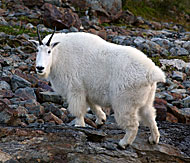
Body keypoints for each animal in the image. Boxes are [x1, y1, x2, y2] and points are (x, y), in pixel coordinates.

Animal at [29, 27, 165, 149]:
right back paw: (153, 139)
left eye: (49, 51)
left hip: (125, 101)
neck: (59, 54)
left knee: (133, 124)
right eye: (37, 50)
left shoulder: (75, 88)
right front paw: (101, 120)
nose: (40, 68)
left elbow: (78, 110)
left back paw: (123, 143)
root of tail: (151, 73)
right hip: (146, 98)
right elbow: (93, 105)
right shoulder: (87, 90)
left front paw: (79, 126)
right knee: (150, 115)